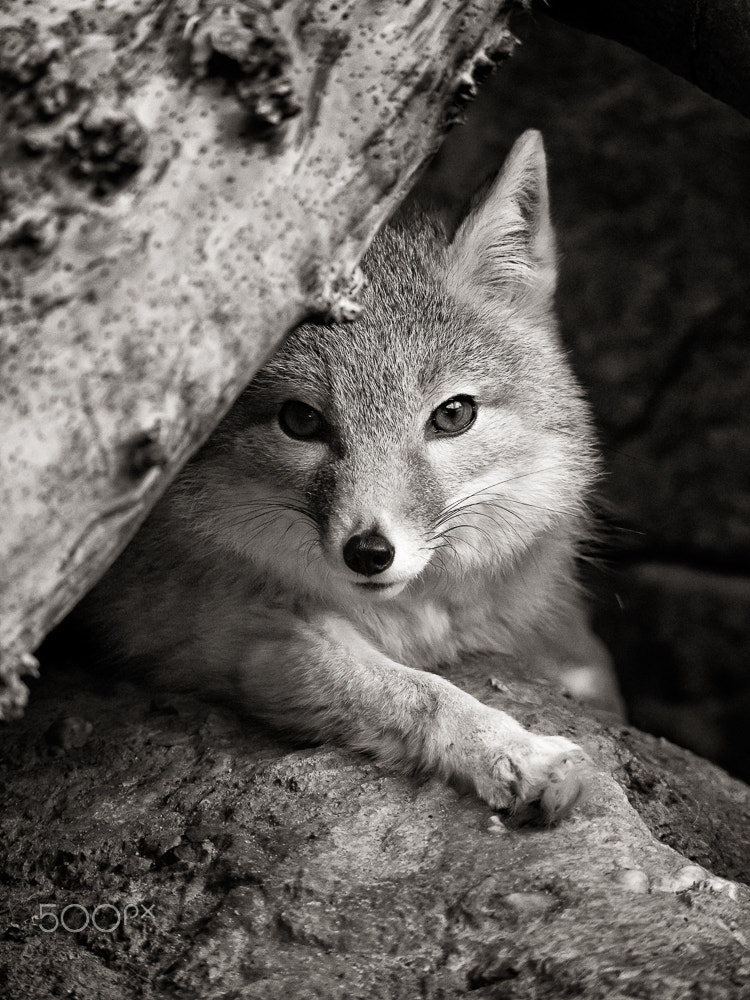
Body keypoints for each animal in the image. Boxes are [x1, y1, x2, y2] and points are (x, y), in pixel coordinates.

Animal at [76, 130, 619, 822]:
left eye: (453, 414)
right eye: (301, 421)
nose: (368, 552)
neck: (414, 619)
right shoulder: (228, 626)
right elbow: (417, 692)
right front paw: (512, 752)